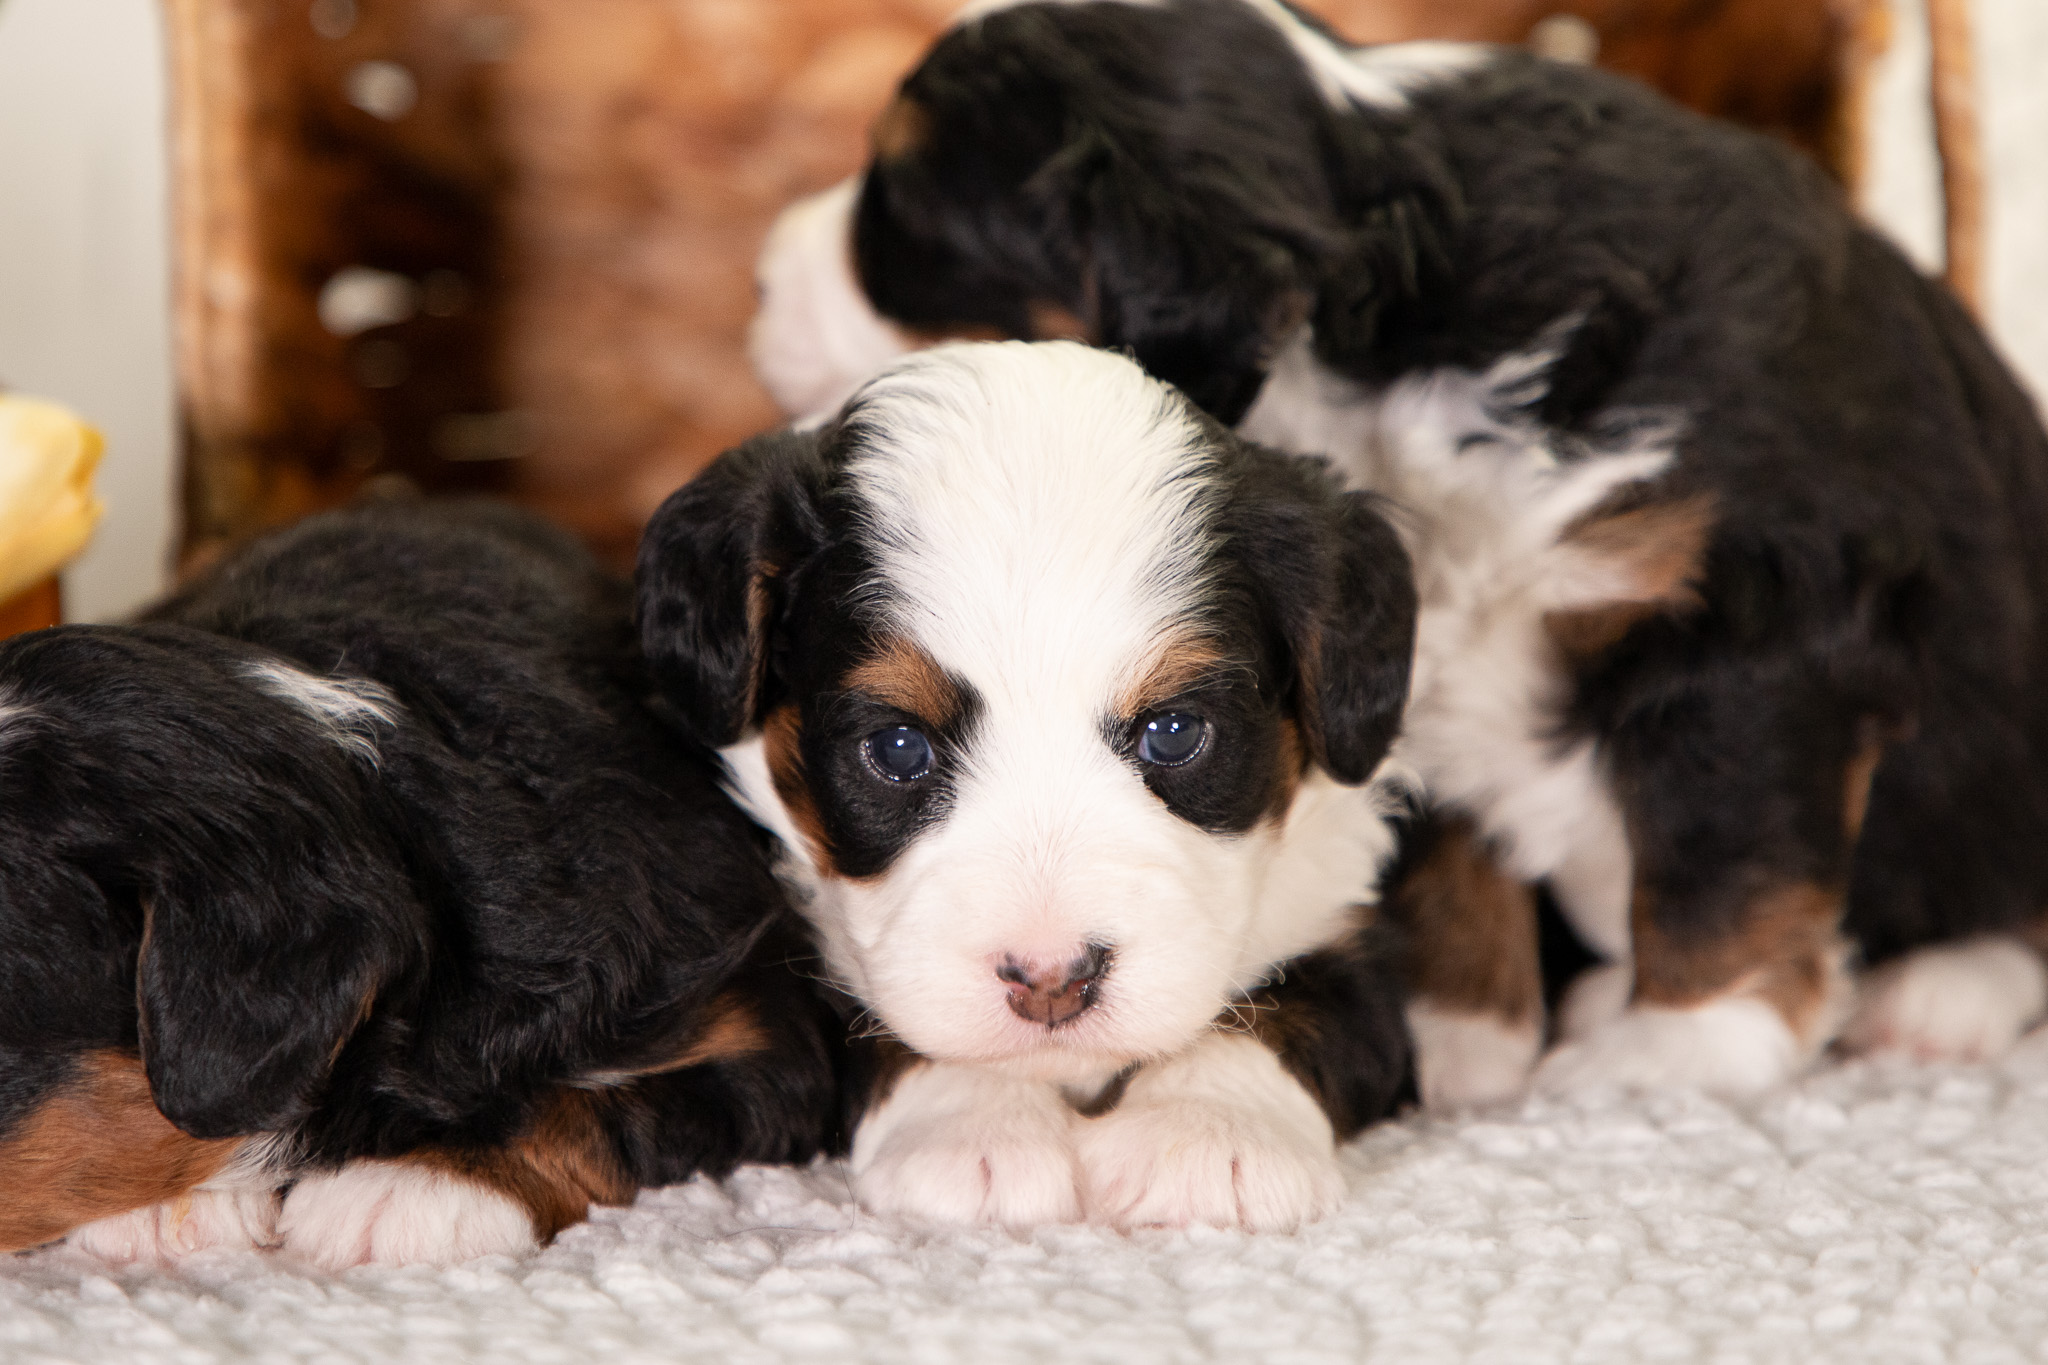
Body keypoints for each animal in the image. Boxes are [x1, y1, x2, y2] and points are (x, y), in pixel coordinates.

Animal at [638, 340, 1417, 1230]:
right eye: (898, 748)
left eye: (1175, 731)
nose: (1052, 981)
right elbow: (876, 1020)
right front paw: (976, 1123)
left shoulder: (1345, 907)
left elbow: (1309, 1002)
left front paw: (1205, 1130)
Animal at [747, 0, 2048, 1105]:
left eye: (900, 222)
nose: (757, 276)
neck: (1387, 337)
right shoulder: (1400, 641)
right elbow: (1447, 852)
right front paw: (1457, 1036)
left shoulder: (1752, 614)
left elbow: (1726, 846)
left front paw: (1677, 1052)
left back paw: (1937, 995)